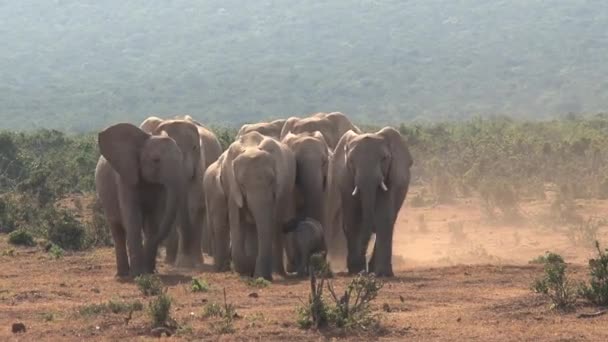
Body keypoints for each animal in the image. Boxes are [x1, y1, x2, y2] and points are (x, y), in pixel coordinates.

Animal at [95, 123, 195, 278]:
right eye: (156, 160)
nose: (153, 270)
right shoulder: (125, 178)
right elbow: (133, 220)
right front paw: (137, 274)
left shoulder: (159, 187)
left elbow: (152, 221)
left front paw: (148, 272)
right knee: (117, 231)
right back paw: (122, 275)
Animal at [222, 132, 296, 280]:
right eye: (242, 184)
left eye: (272, 180)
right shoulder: (233, 187)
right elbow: (237, 222)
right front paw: (250, 268)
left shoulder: (279, 188)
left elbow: (270, 223)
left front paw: (260, 276)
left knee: (275, 227)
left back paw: (277, 273)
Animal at [328, 127, 414, 276]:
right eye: (351, 161)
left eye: (384, 159)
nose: (363, 271)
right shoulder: (345, 178)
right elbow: (352, 219)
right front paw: (356, 270)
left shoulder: (392, 177)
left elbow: (384, 217)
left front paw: (382, 274)